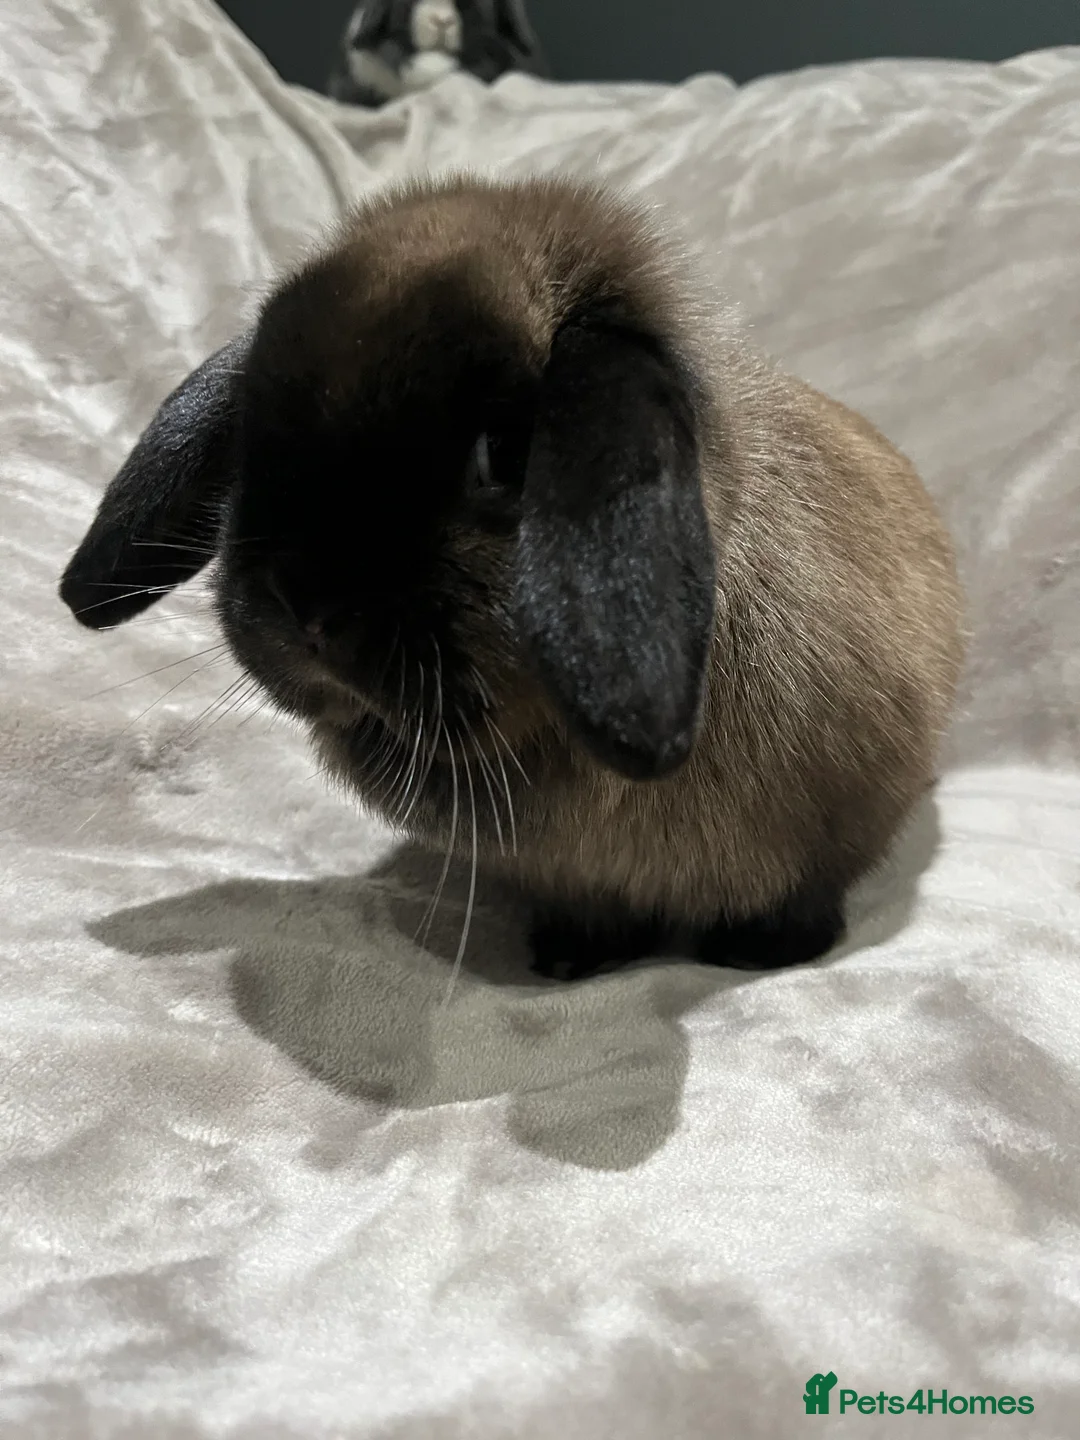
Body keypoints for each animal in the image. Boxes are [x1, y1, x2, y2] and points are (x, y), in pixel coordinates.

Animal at [60, 175, 965, 981]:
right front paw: (570, 959)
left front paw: (759, 952)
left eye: (506, 456)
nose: (305, 610)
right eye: (251, 434)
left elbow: (800, 896)